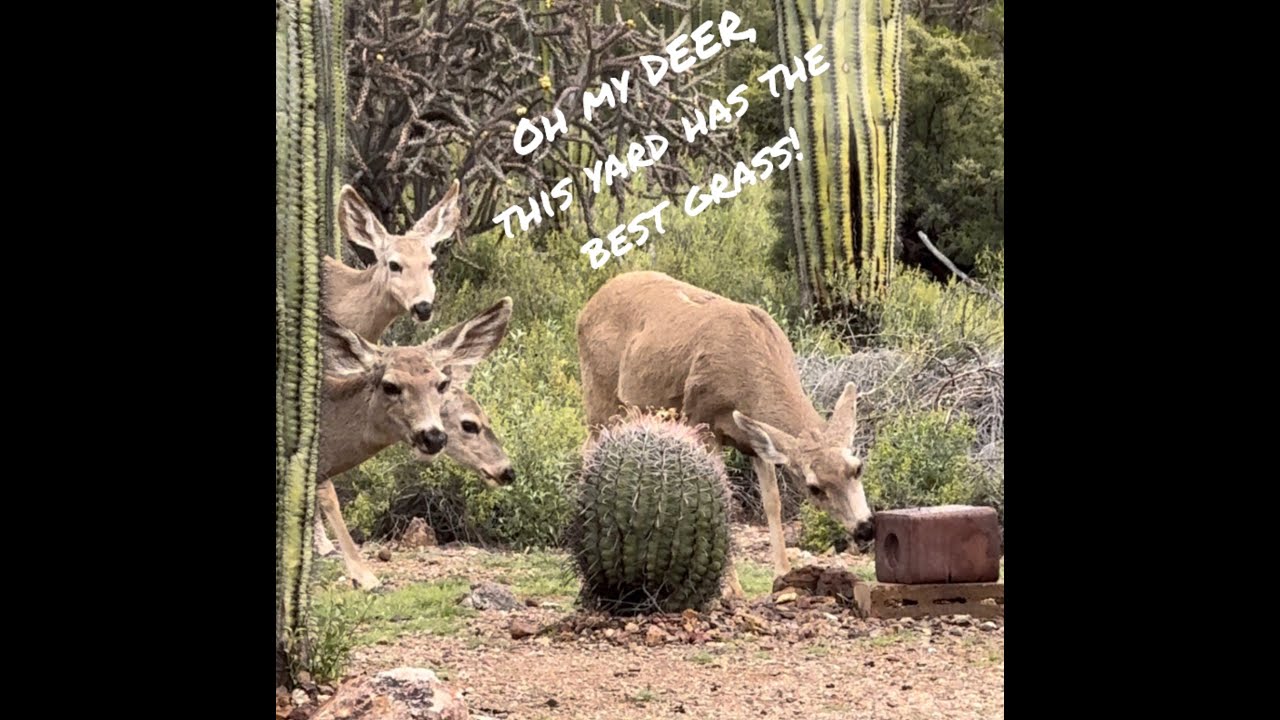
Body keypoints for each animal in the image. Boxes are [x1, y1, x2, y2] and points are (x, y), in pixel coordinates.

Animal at [575, 271, 874, 599]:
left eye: (857, 468)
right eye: (814, 487)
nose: (864, 527)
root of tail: (587, 307)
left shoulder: (753, 440)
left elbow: (772, 501)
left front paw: (783, 574)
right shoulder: (702, 419)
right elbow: (723, 499)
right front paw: (732, 587)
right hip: (600, 394)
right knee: (588, 447)